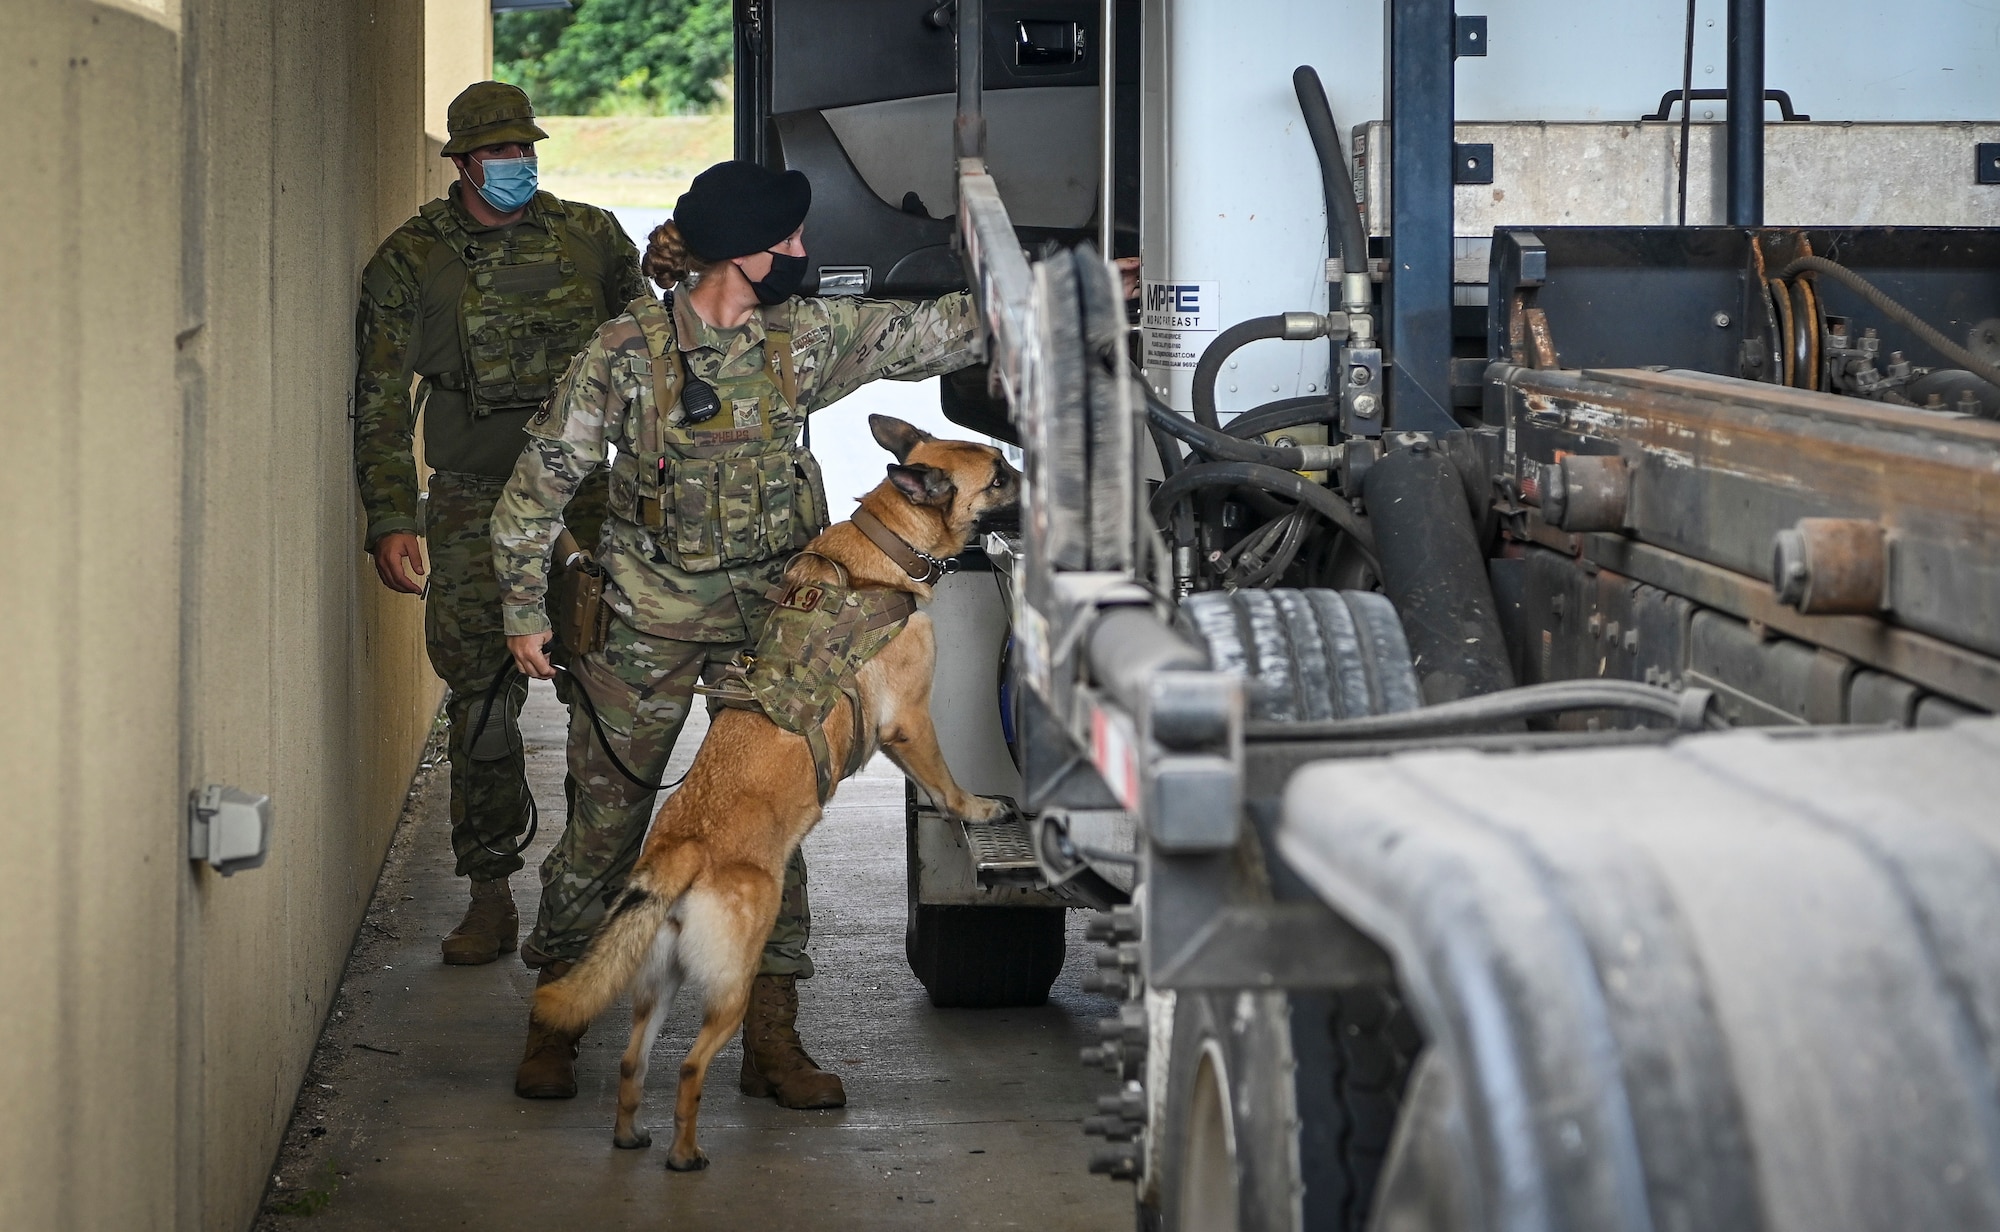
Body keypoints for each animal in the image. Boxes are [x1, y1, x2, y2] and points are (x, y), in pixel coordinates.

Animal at [536, 412, 1016, 1168]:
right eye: (998, 477)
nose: (1033, 474)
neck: (885, 542)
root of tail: (680, 850)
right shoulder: (911, 725)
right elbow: (945, 781)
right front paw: (977, 807)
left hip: (658, 989)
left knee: (633, 1062)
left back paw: (632, 1135)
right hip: (729, 985)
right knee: (688, 1067)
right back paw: (685, 1154)